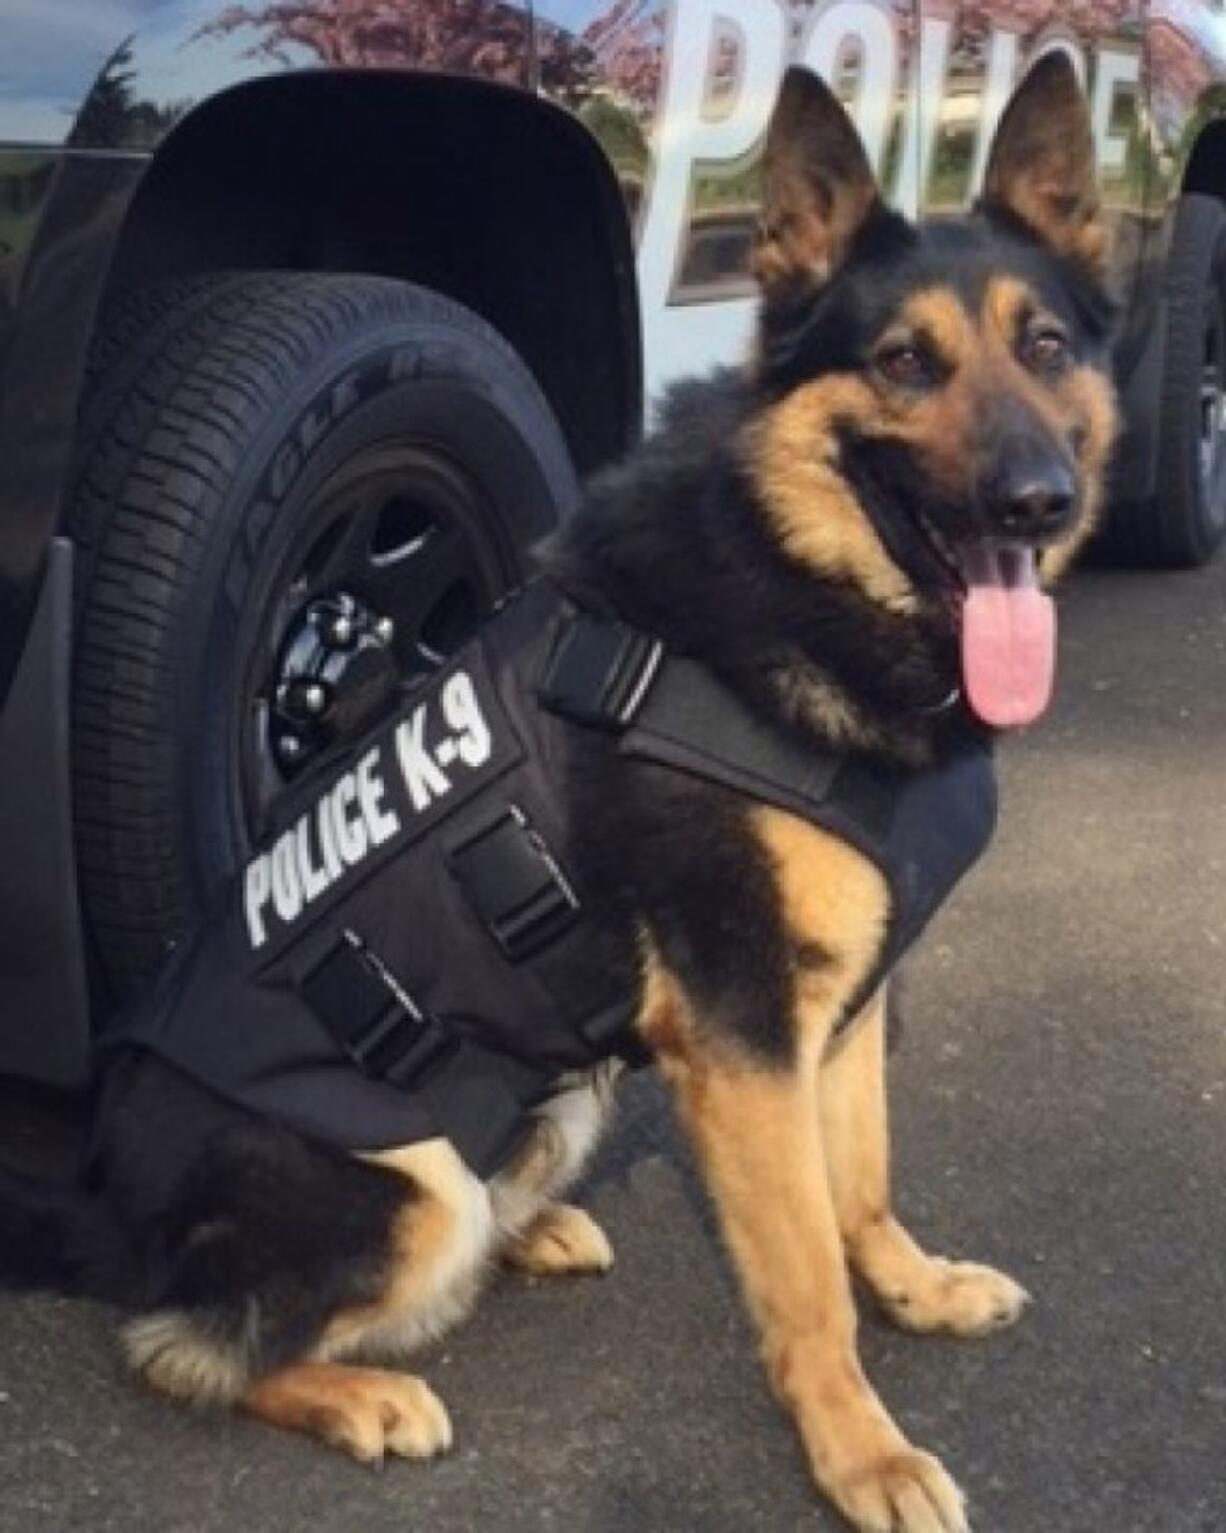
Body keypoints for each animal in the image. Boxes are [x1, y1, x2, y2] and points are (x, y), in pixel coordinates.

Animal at [0, 54, 1115, 1526]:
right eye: (901, 363)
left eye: (1041, 348)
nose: (1036, 503)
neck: (801, 579)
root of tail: (102, 1199)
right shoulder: (744, 1037)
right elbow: (805, 1268)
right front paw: (859, 1449)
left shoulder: (841, 1007)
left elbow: (862, 1182)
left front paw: (912, 1288)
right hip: (401, 1185)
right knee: (190, 1342)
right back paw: (364, 1390)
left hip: (563, 1089)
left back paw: (526, 1228)